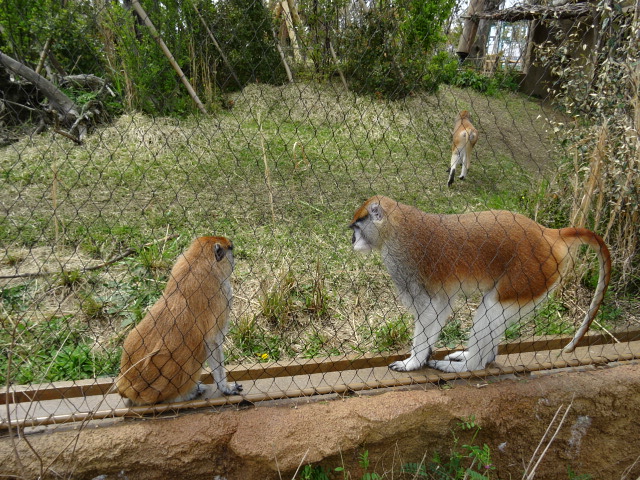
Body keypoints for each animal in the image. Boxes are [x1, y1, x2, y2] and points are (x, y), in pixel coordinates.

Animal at [117, 236, 242, 404]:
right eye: (231, 249)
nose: (234, 260)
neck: (198, 260)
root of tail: (127, 387)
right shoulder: (223, 294)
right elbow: (212, 341)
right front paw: (225, 387)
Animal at [352, 197, 612, 374]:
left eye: (356, 227)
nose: (353, 240)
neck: (394, 225)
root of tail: (548, 234)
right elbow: (441, 305)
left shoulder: (401, 261)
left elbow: (429, 309)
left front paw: (412, 362)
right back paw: (478, 358)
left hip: (530, 277)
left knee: (491, 308)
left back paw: (471, 365)